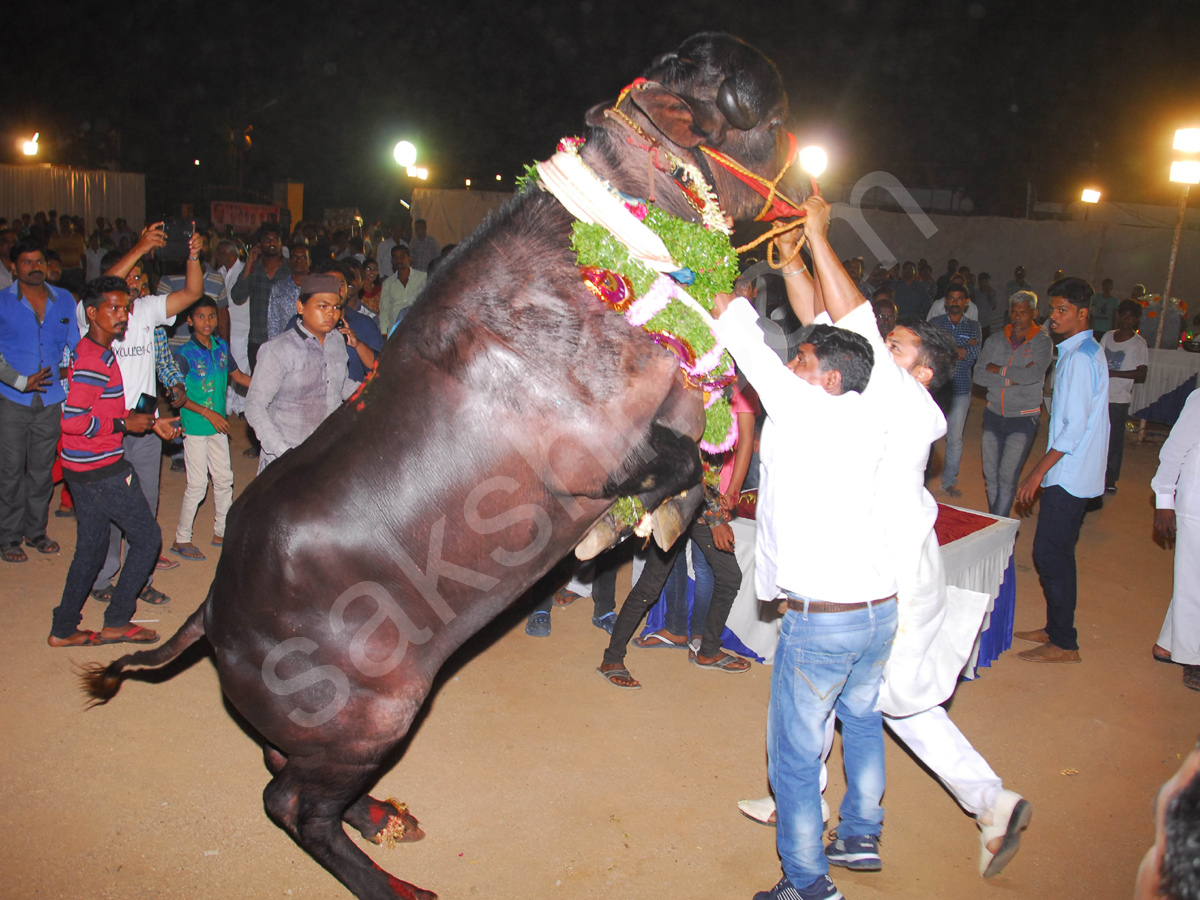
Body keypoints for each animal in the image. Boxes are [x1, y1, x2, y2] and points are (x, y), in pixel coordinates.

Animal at [82, 33, 796, 900]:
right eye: (755, 99)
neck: (614, 245)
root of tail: (213, 614)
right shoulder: (593, 448)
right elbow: (678, 457)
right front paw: (630, 524)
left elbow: (700, 449)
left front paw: (660, 521)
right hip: (373, 711)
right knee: (289, 802)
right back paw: (390, 880)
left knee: (283, 763)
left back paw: (381, 817)